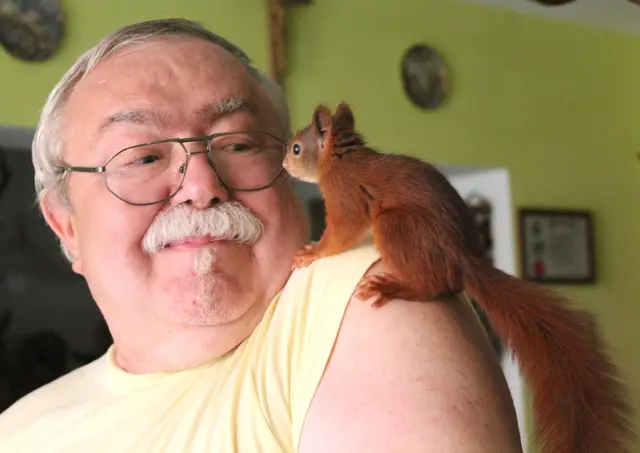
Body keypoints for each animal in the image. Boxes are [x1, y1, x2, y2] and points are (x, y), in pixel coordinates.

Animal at [282, 102, 635, 453]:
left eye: (297, 148)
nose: (284, 164)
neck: (341, 158)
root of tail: (464, 260)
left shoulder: (345, 195)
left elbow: (341, 232)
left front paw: (312, 252)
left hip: (396, 227)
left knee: (432, 286)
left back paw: (394, 287)